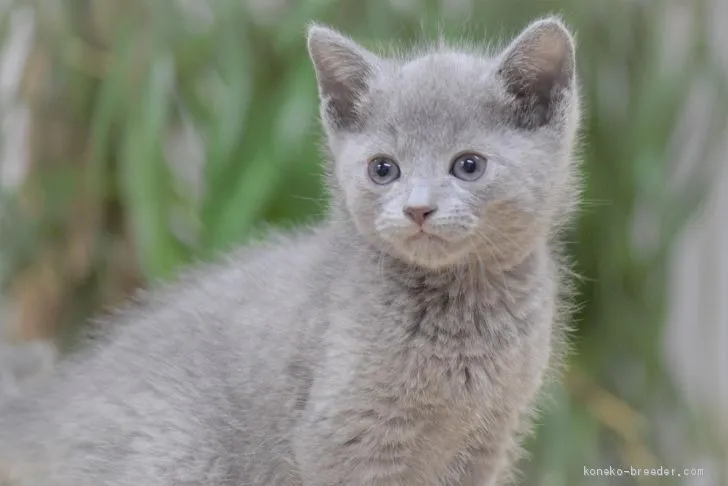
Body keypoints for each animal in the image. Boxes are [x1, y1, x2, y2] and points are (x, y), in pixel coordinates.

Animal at [0, 17, 580, 486]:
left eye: (468, 165)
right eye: (383, 169)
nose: (418, 209)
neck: (462, 311)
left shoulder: (490, 437)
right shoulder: (346, 436)